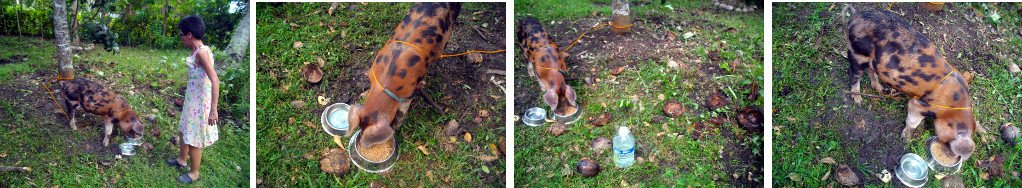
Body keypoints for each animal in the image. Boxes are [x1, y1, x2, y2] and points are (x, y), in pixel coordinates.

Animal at [345, 2, 461, 147]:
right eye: (360, 127)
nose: (361, 143)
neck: (384, 85)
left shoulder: (411, 92)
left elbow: (402, 110)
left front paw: (396, 128)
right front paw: (363, 95)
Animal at [842, 6, 977, 161]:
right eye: (950, 143)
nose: (953, 157)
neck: (951, 108)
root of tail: (855, 15)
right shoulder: (919, 105)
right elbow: (912, 122)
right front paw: (905, 140)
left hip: (872, 61)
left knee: (871, 72)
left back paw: (882, 90)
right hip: (857, 52)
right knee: (853, 74)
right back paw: (858, 101)